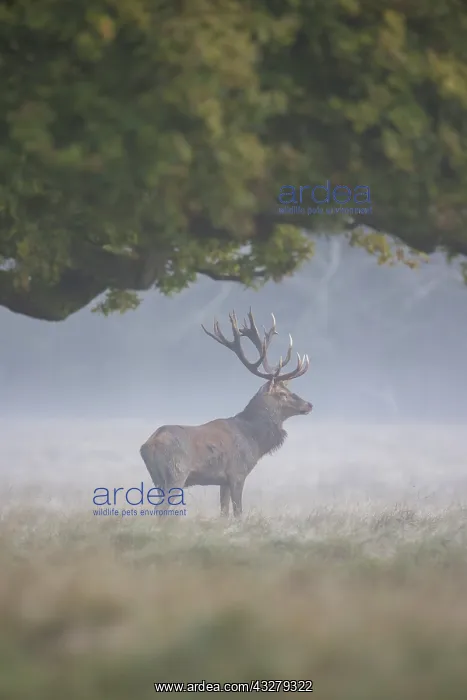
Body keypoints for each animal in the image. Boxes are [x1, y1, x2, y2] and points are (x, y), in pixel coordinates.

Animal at [139, 309, 312, 518]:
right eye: (282, 394)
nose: (309, 405)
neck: (254, 439)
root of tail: (149, 445)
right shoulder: (237, 473)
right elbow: (238, 512)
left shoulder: (223, 481)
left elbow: (224, 512)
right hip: (176, 473)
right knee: (161, 510)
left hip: (157, 479)